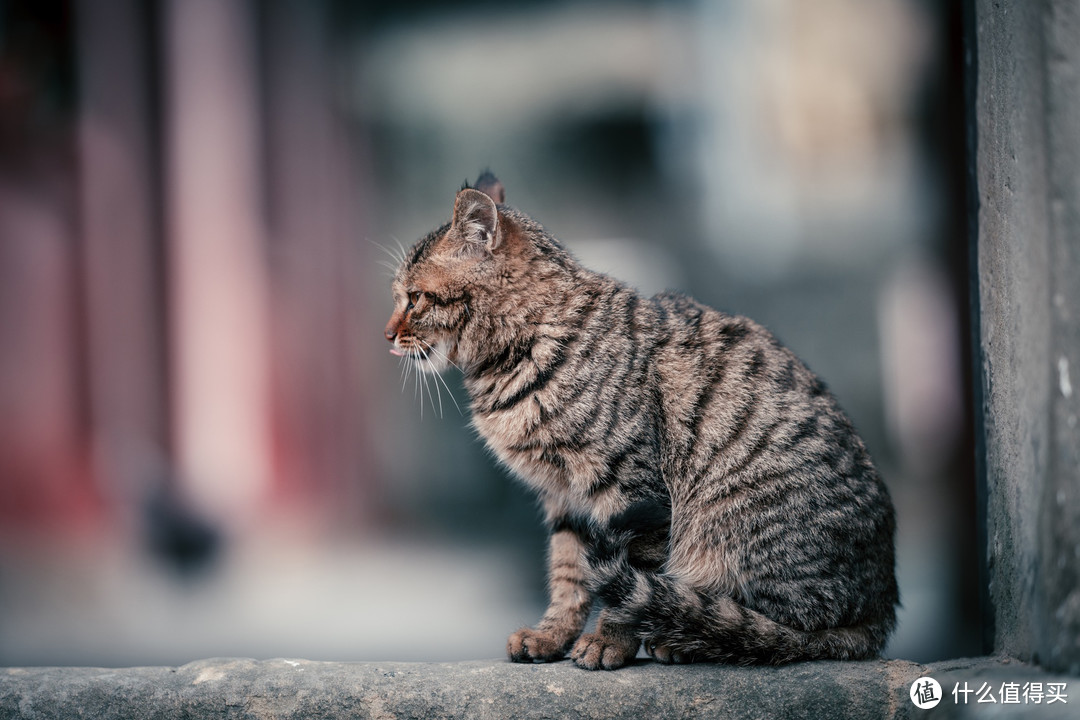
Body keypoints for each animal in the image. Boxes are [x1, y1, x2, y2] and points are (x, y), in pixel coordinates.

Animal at [384, 171, 898, 673]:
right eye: (399, 297)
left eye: (415, 297)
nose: (387, 335)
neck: (523, 348)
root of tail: (879, 609)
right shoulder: (563, 498)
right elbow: (569, 574)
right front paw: (551, 635)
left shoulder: (632, 487)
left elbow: (630, 578)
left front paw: (609, 641)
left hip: (728, 527)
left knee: (781, 631)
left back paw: (688, 637)